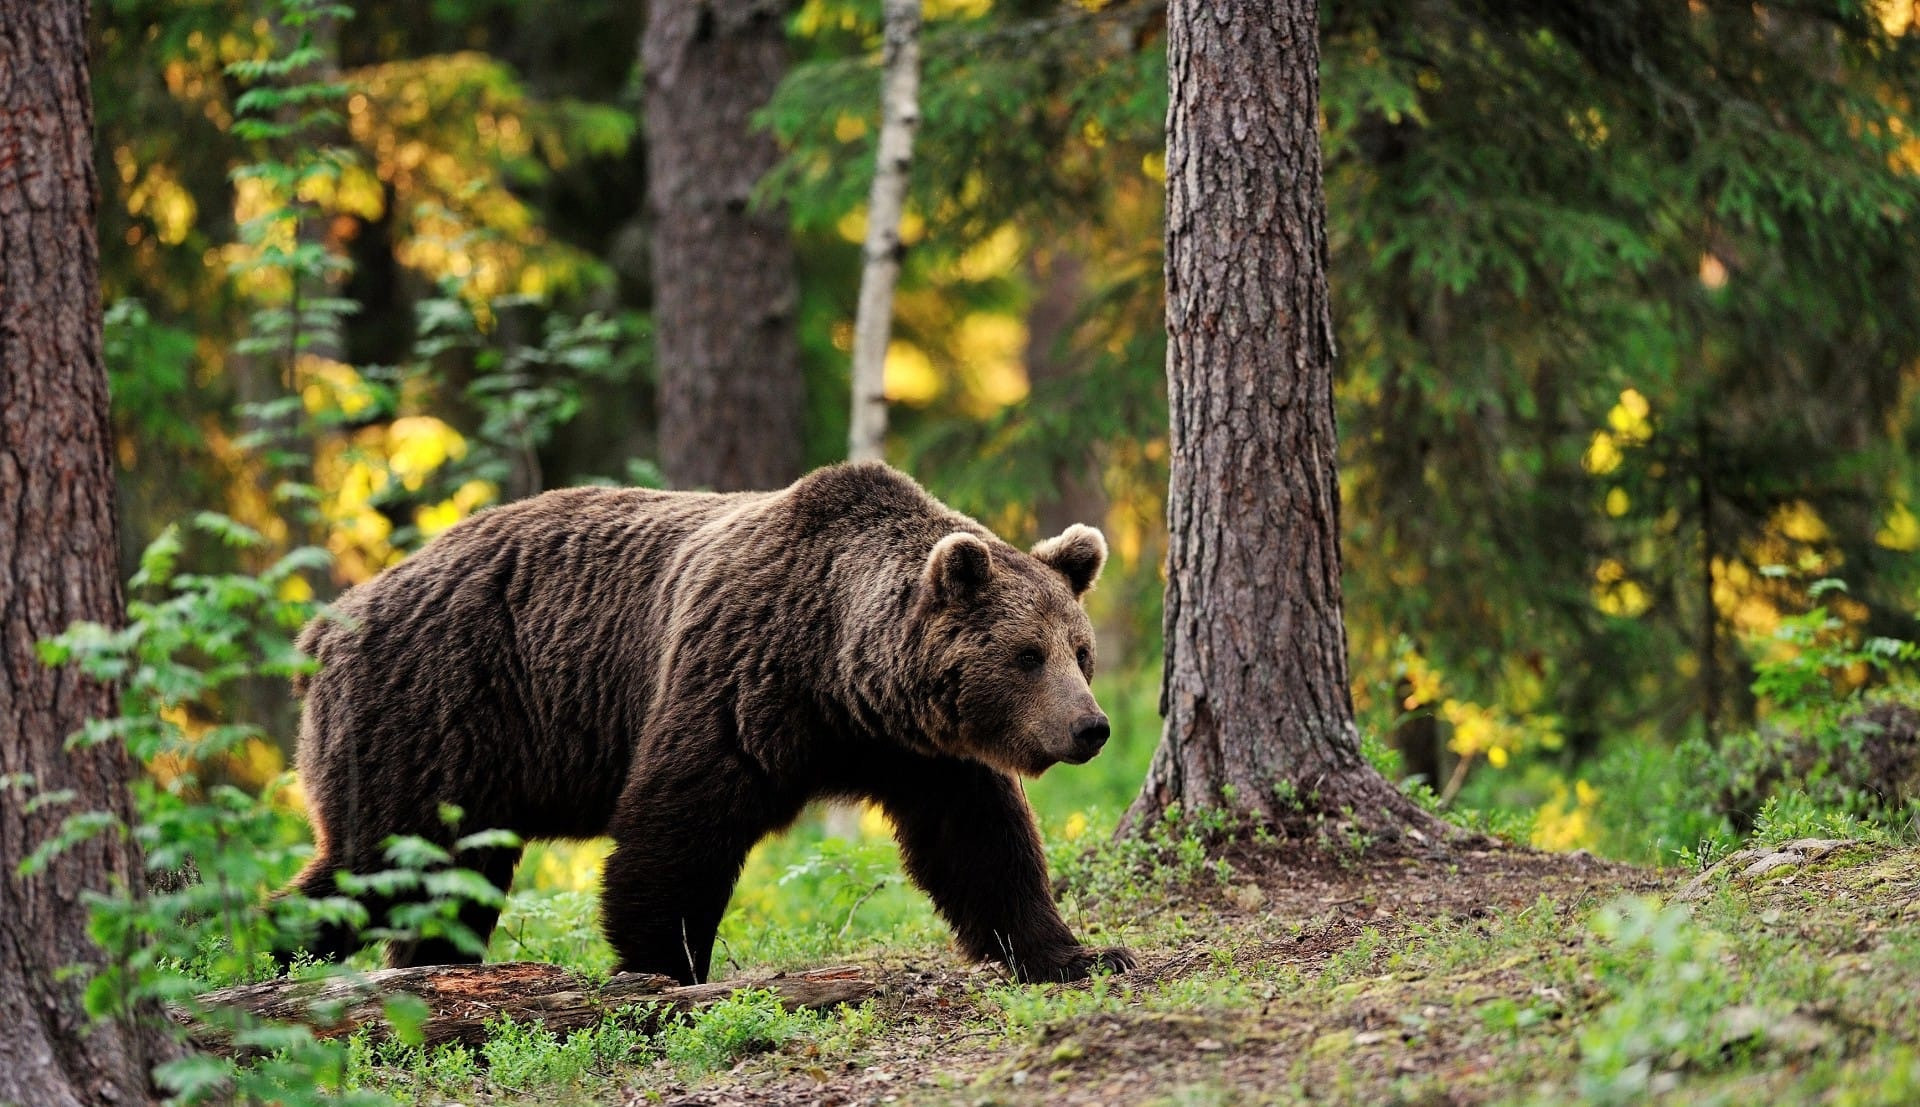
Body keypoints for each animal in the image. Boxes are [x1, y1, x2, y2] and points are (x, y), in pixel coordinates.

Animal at [278, 462, 1128, 978]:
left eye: (1080, 652)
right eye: (1026, 654)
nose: (1090, 727)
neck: (840, 675)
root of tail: (327, 624)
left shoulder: (922, 751)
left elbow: (980, 844)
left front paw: (1076, 953)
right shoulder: (738, 679)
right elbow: (678, 826)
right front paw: (662, 963)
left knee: (443, 880)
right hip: (433, 711)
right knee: (380, 860)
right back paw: (271, 948)